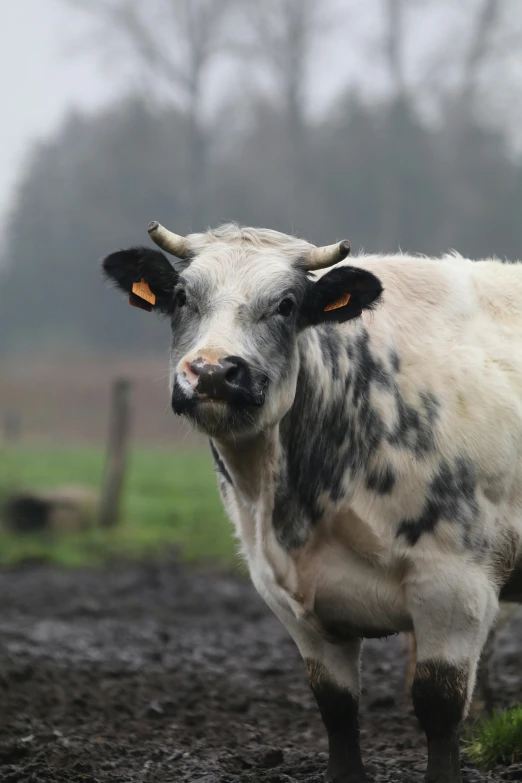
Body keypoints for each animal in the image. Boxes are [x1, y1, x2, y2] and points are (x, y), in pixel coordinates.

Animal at [101, 219, 520, 783]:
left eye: (286, 304)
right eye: (184, 296)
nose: (212, 372)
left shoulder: (457, 586)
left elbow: (439, 707)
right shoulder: (295, 602)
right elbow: (337, 711)